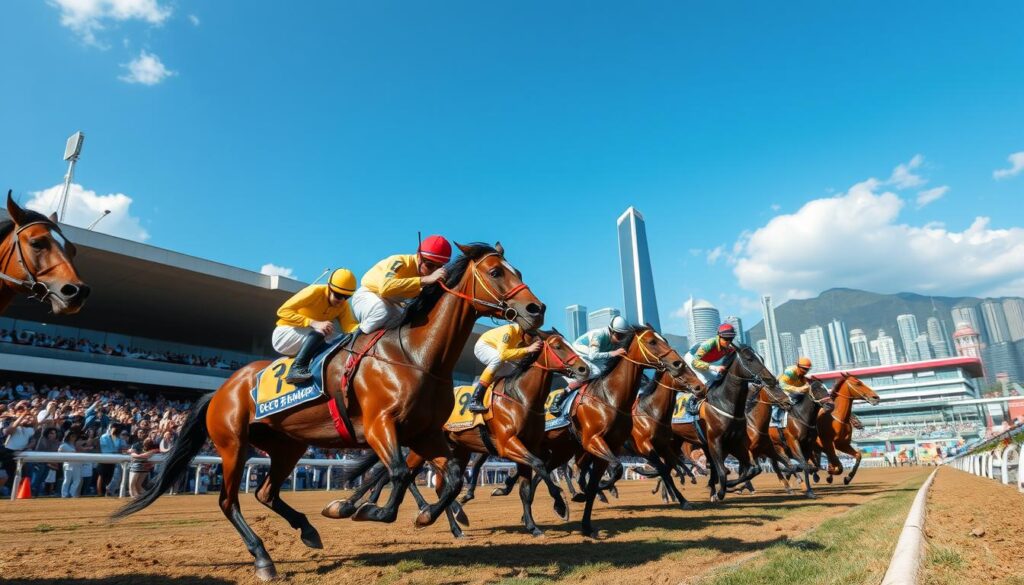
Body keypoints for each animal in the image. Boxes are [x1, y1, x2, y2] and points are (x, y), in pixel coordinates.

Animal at [116, 242, 548, 581]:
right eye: (495, 271)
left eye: (519, 271)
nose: (536, 309)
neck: (415, 355)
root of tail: (221, 388)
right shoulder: (379, 426)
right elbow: (398, 473)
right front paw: (366, 510)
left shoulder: (425, 433)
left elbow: (452, 477)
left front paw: (422, 516)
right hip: (232, 444)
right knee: (229, 501)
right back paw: (263, 559)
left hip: (287, 446)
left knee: (266, 492)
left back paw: (308, 530)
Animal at [700, 344, 778, 504]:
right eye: (749, 359)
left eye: (761, 358)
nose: (771, 380)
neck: (725, 403)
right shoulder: (715, 441)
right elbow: (724, 471)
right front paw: (723, 491)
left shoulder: (735, 443)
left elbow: (754, 469)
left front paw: (731, 485)